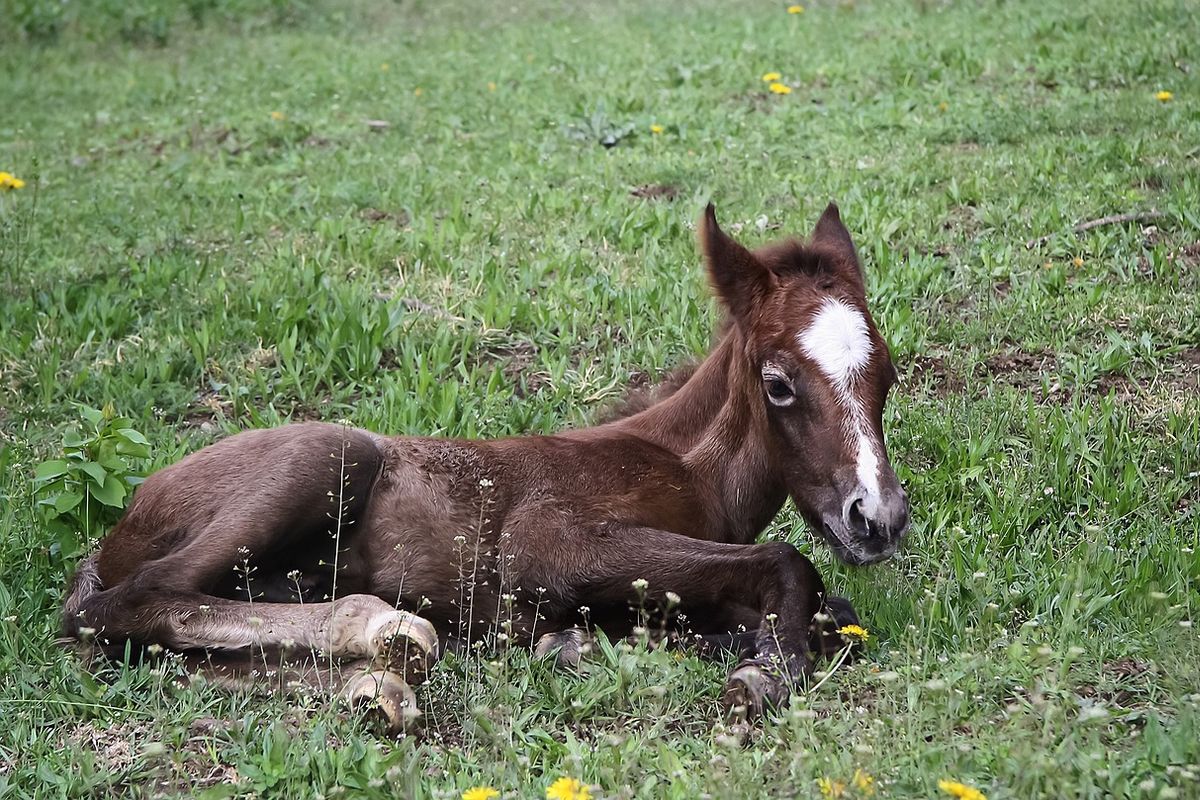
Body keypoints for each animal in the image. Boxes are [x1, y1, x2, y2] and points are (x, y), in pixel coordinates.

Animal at [63, 201, 907, 734]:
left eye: (888, 375)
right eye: (779, 384)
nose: (878, 518)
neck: (684, 466)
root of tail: (120, 526)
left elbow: (829, 613)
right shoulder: (546, 544)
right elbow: (790, 564)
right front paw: (761, 674)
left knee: (164, 653)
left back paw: (378, 686)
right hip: (330, 455)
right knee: (130, 605)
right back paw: (384, 629)